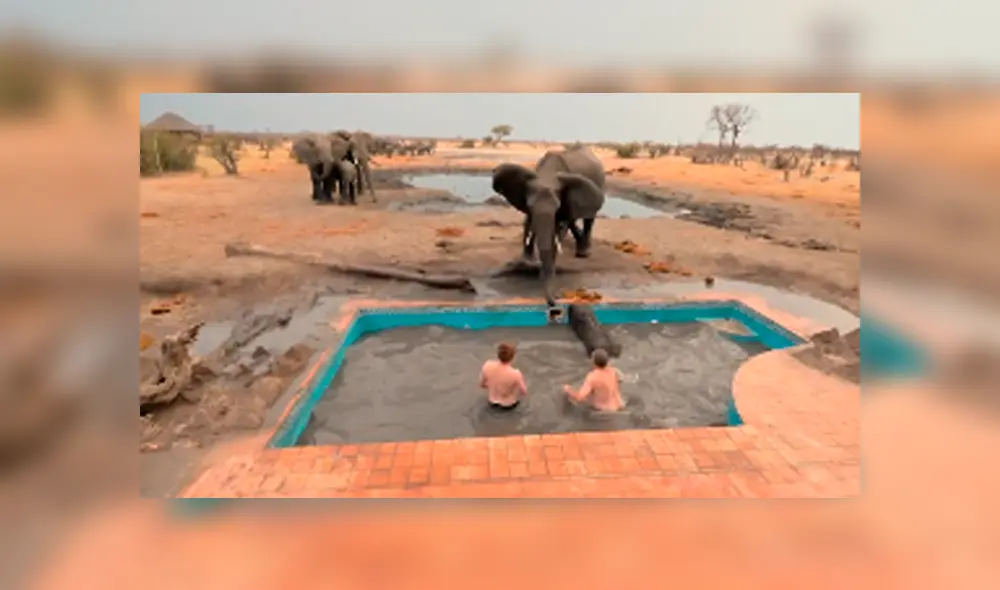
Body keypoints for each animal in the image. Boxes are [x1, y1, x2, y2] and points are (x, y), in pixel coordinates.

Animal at [491, 144, 606, 306]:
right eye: (530, 205)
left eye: (556, 206)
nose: (554, 301)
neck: (547, 175)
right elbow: (528, 222)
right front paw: (527, 262)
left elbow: (559, 228)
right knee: (572, 219)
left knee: (588, 219)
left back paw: (583, 254)